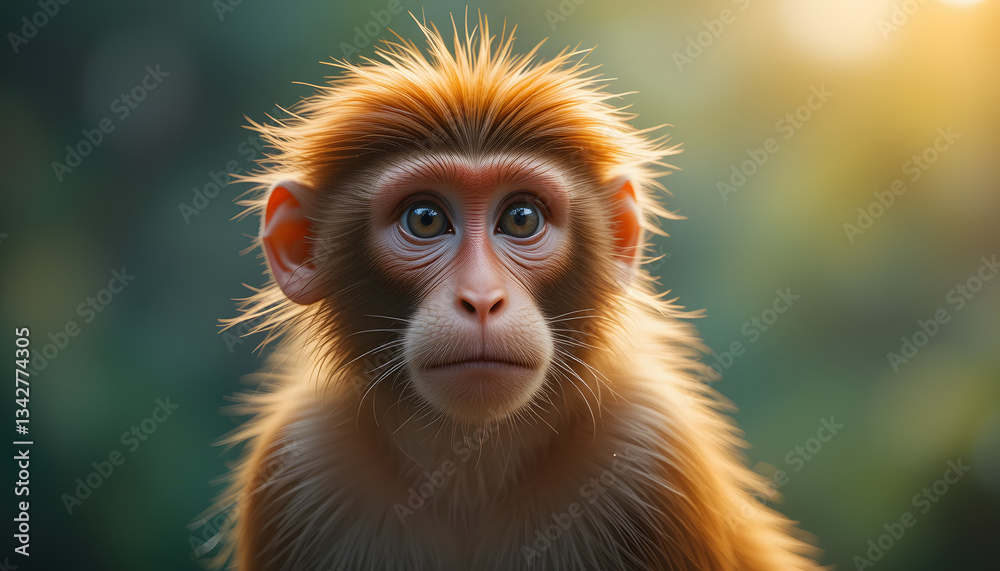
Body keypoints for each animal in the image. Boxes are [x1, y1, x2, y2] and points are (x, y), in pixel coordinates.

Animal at [206, 16, 823, 571]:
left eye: (521, 218)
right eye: (425, 219)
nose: (481, 299)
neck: (469, 473)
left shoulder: (652, 454)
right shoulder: (296, 467)